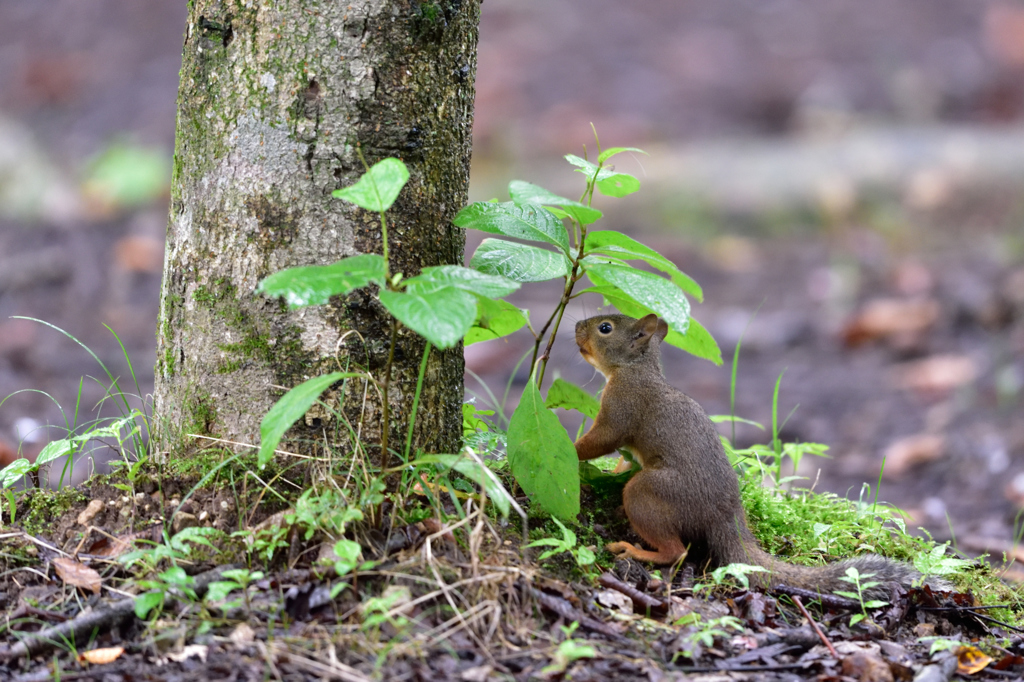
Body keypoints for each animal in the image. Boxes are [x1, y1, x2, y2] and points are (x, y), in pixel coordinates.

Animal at [573, 313, 933, 593]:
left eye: (605, 328)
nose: (576, 325)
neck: (635, 368)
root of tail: (725, 518)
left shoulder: (622, 406)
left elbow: (602, 440)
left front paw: (570, 449)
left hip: (649, 492)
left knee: (676, 551)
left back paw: (634, 550)